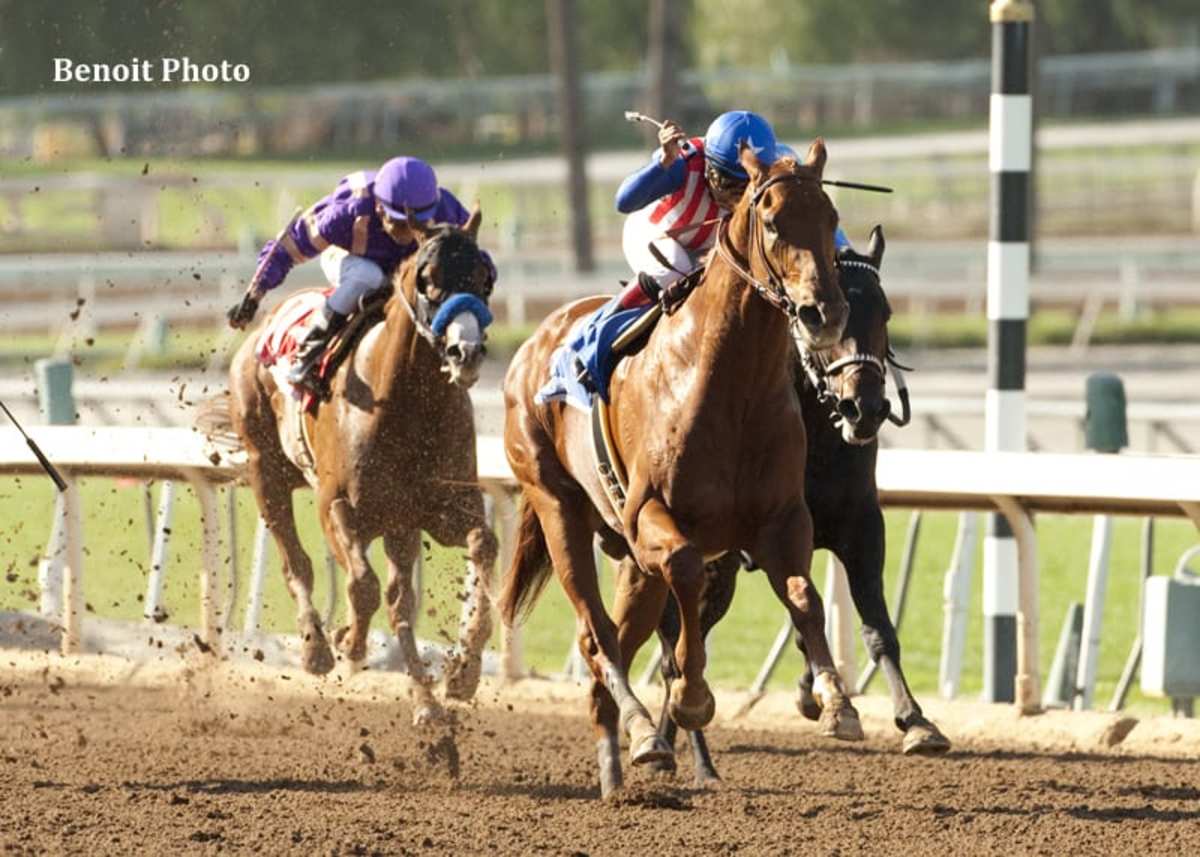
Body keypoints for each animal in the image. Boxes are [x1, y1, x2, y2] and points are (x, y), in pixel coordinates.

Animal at [225, 208, 496, 720]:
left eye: (484, 278)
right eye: (428, 279)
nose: (465, 353)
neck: (406, 403)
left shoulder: (443, 509)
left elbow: (481, 548)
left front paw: (462, 674)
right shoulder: (337, 506)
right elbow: (361, 585)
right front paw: (346, 643)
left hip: (398, 523)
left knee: (399, 599)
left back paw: (425, 701)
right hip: (266, 472)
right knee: (298, 564)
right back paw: (316, 647)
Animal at [499, 140, 864, 792]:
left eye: (829, 217)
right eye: (773, 222)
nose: (824, 312)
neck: (728, 382)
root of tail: (533, 344)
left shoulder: (782, 519)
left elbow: (803, 594)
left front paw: (836, 702)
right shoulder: (652, 516)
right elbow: (689, 572)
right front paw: (693, 695)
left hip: (632, 563)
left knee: (615, 643)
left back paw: (621, 767)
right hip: (558, 507)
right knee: (597, 636)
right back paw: (645, 733)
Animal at [643, 225, 950, 782]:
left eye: (886, 312)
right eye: (818, 319)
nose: (864, 407)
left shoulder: (859, 523)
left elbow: (873, 625)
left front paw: (914, 720)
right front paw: (826, 700)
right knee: (678, 643)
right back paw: (678, 749)